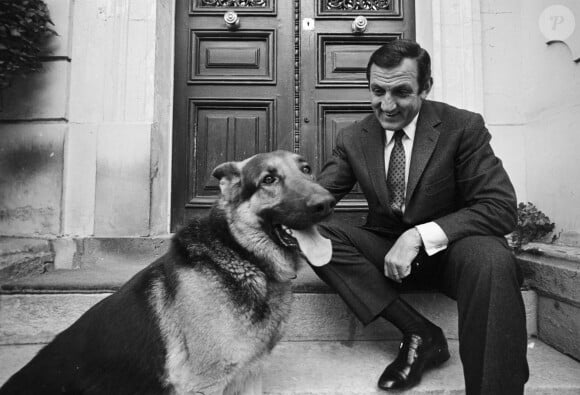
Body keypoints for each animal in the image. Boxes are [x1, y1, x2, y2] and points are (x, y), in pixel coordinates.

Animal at [0, 150, 334, 394]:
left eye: (306, 169)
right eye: (269, 179)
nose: (327, 203)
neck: (242, 256)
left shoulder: (249, 375)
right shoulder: (207, 383)